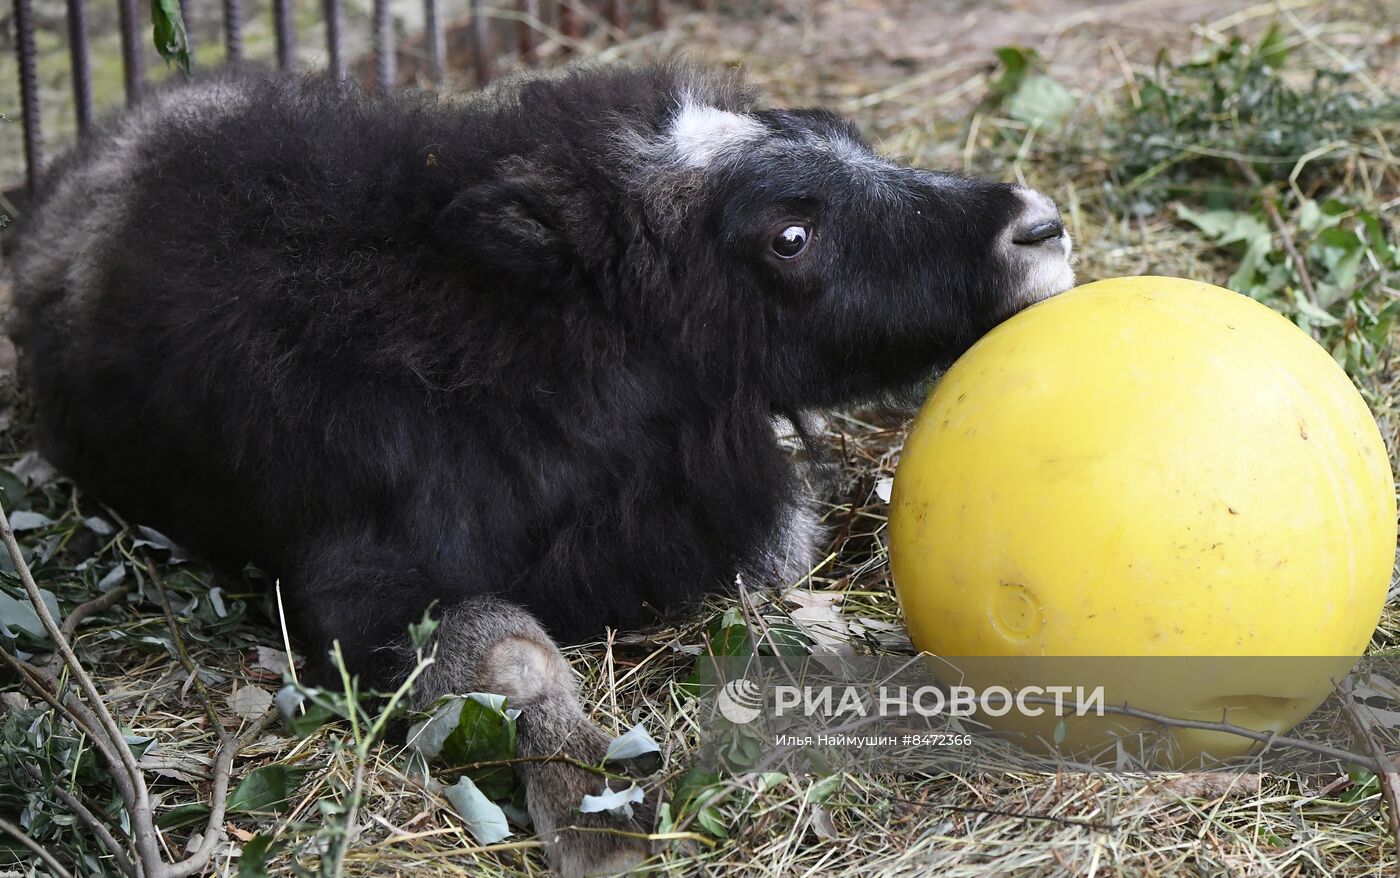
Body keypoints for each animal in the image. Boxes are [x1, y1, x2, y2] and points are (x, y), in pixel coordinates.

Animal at [10, 65, 1069, 873]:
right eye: (789, 236)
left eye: (842, 136)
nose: (1040, 227)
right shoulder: (357, 599)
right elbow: (512, 648)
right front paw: (601, 814)